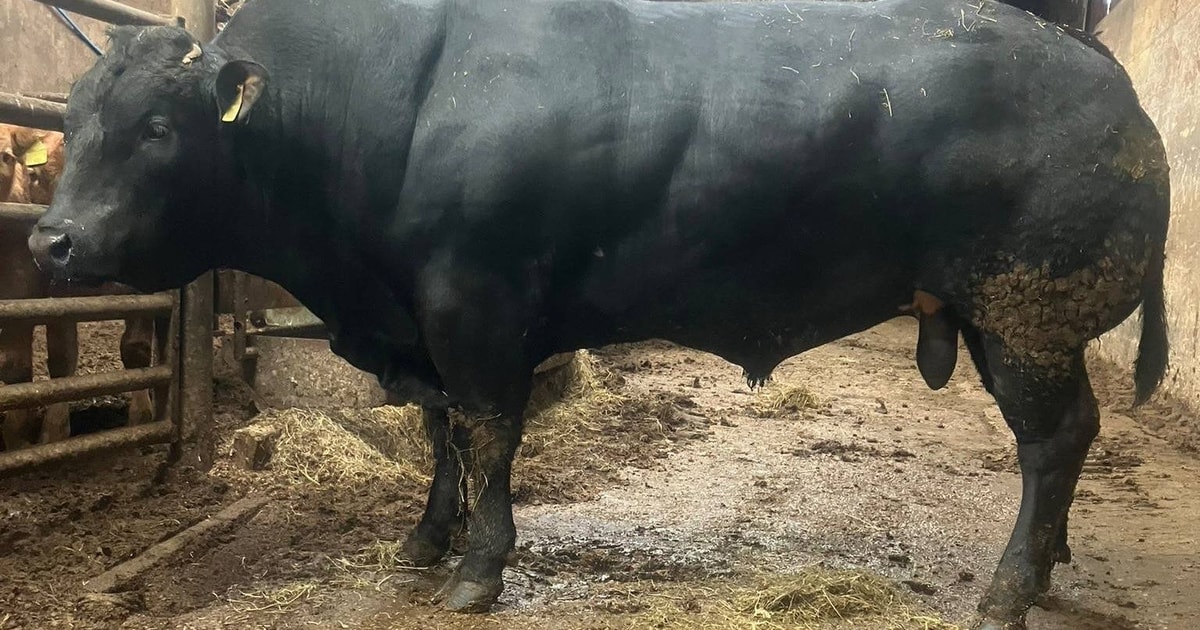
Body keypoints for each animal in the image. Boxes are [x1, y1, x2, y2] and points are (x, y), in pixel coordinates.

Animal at [0, 123, 156, 450]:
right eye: (44, 177)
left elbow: (136, 350)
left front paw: (141, 419)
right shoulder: (54, 294)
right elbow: (61, 358)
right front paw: (52, 433)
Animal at [27, 0, 1170, 627]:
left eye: (160, 127)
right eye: (75, 117)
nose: (51, 242)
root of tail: (1086, 59)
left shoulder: (475, 306)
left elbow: (489, 430)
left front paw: (479, 568)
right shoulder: (425, 324)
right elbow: (441, 432)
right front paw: (425, 538)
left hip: (1026, 316)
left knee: (1054, 440)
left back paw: (1010, 588)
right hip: (1009, 322)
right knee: (1067, 440)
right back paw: (1045, 566)